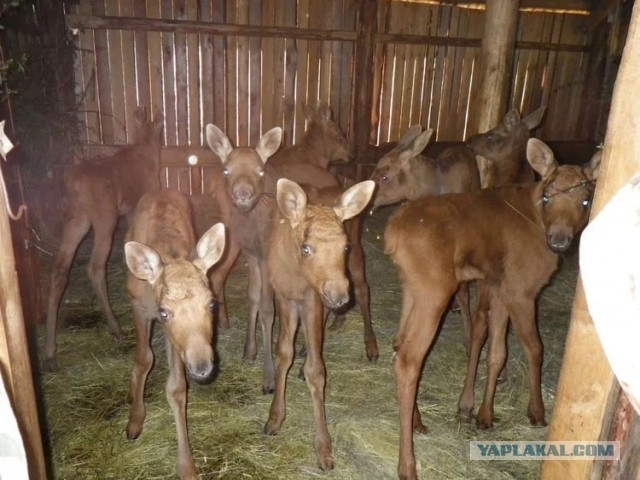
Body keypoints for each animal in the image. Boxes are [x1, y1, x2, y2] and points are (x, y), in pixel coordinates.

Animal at [44, 105, 163, 372]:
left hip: (76, 219)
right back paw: (116, 327)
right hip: (104, 218)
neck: (145, 146)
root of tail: (74, 183)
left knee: (59, 268)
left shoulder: (129, 209)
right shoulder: (141, 201)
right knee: (95, 266)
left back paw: (50, 351)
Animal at [124, 189, 226, 480]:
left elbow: (177, 388)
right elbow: (143, 359)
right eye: (164, 311)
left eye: (211, 303)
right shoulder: (140, 308)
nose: (202, 365)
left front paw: (186, 466)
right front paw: (135, 420)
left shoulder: (176, 341)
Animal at [205, 124, 341, 394]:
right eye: (226, 169)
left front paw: (268, 377)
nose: (243, 194)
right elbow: (253, 297)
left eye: (260, 170)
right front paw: (249, 351)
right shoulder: (252, 254)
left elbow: (268, 309)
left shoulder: (268, 259)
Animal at [263, 178, 375, 471]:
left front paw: (324, 448)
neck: (295, 275)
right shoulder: (285, 296)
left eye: (344, 247)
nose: (340, 296)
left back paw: (371, 346)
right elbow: (283, 352)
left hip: (356, 265)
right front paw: (275, 418)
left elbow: (317, 371)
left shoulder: (312, 297)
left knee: (364, 291)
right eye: (306, 247)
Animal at [384, 138, 600, 480]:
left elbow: (495, 351)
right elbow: (534, 347)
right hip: (434, 291)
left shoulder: (500, 287)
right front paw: (536, 411)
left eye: (585, 201)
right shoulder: (522, 289)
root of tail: (392, 234)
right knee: (408, 359)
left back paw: (418, 422)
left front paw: (482, 413)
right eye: (548, 196)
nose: (559, 240)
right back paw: (407, 464)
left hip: (413, 289)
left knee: (397, 343)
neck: (537, 218)